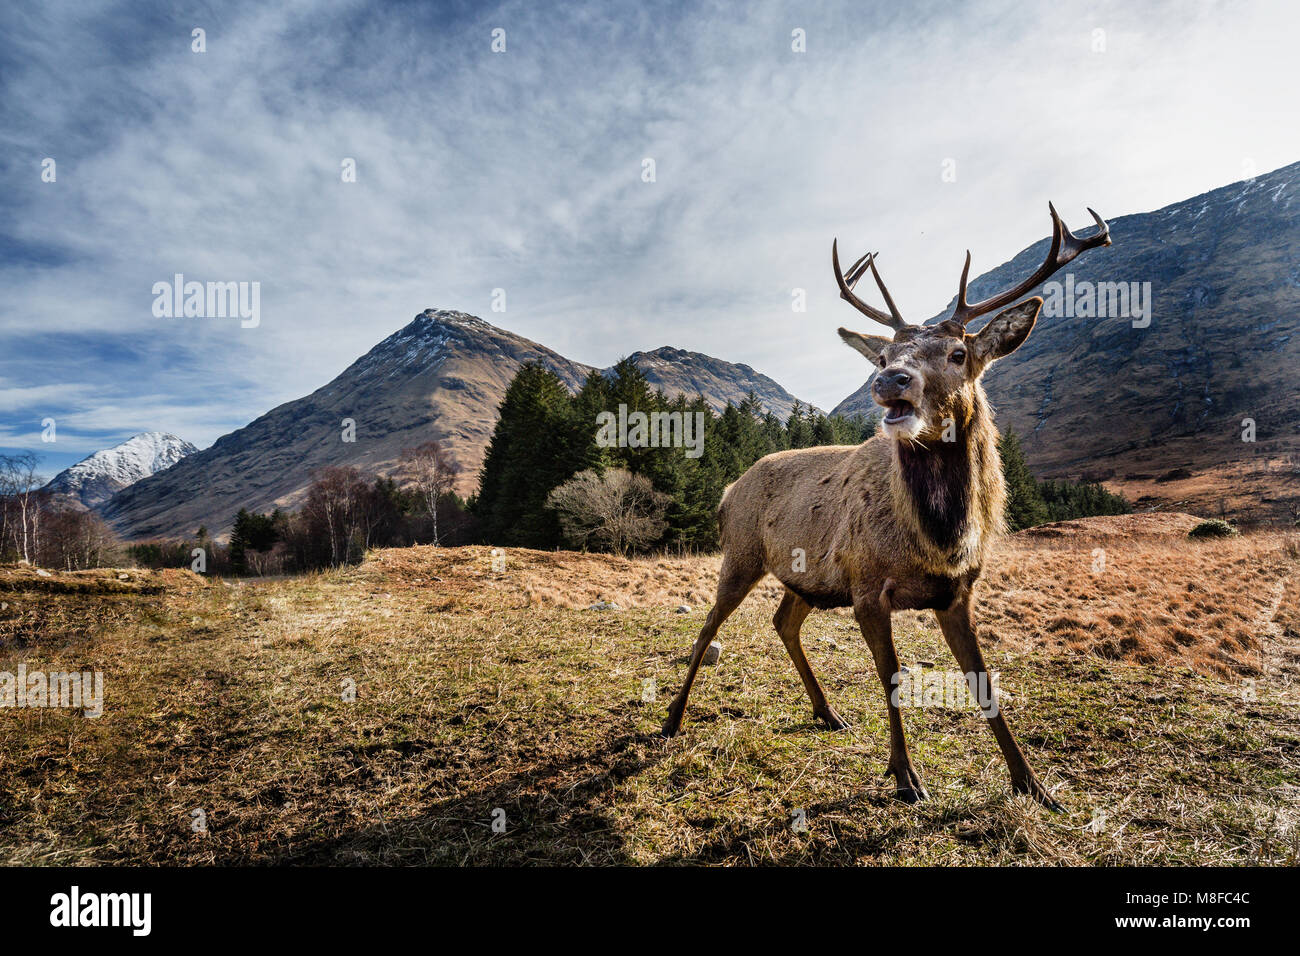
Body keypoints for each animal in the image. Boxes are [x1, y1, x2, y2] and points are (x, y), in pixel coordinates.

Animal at [665, 201, 1112, 806]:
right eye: (881, 354)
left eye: (958, 352)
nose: (890, 379)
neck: (939, 538)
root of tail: (729, 489)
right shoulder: (867, 586)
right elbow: (893, 677)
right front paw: (905, 776)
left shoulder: (957, 592)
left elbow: (983, 681)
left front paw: (1033, 783)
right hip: (741, 553)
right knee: (709, 626)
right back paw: (673, 717)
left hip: (806, 578)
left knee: (783, 620)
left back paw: (827, 712)